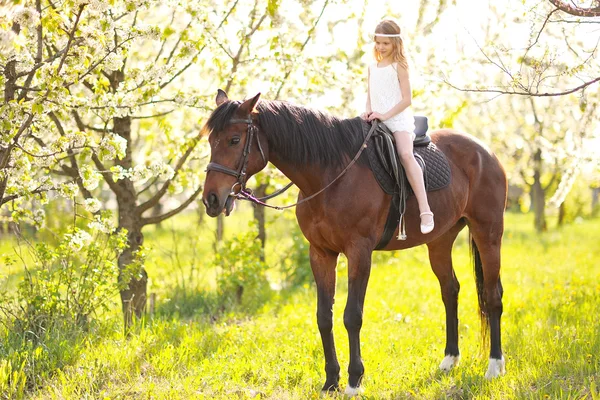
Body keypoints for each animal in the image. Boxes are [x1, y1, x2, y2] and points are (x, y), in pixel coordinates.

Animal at [202, 90, 506, 394]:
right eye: (210, 141)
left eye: (234, 140)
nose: (211, 199)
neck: (330, 174)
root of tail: (485, 152)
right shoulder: (321, 253)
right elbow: (324, 317)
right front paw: (330, 381)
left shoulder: (359, 252)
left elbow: (352, 316)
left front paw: (354, 381)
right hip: (440, 242)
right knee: (450, 290)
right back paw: (450, 359)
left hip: (488, 233)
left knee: (492, 296)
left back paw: (494, 366)